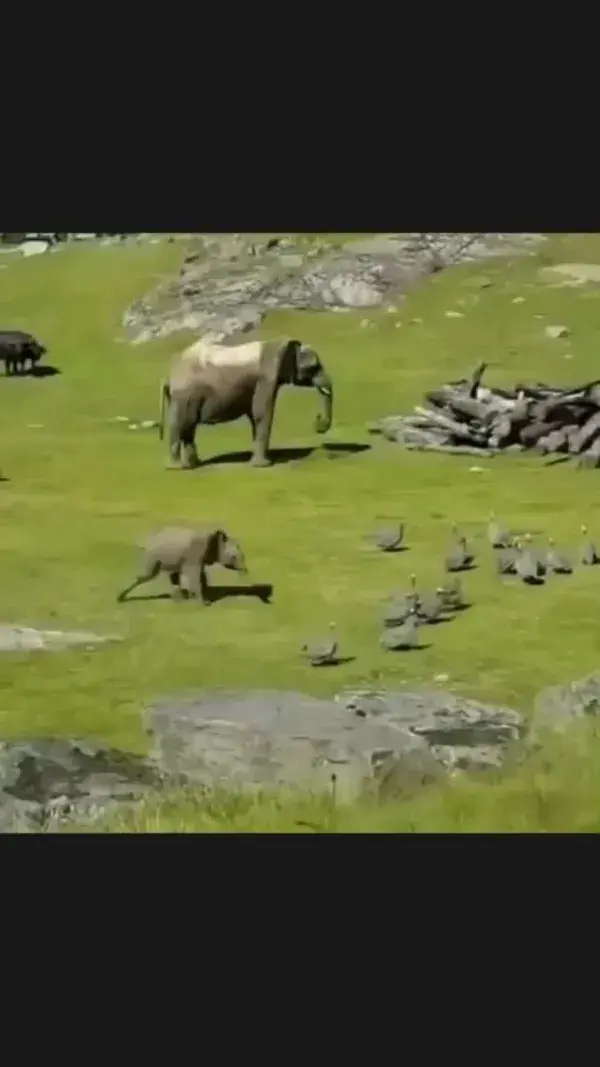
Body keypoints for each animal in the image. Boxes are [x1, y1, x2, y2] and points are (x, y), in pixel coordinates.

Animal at [115, 527, 246, 606]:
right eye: (234, 557)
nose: (245, 572)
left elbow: (201, 575)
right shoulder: (194, 553)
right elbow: (195, 575)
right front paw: (205, 603)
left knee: (172, 575)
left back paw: (179, 599)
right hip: (152, 556)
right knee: (147, 576)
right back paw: (120, 598)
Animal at [156, 335, 333, 465]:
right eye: (314, 367)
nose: (317, 422)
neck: (278, 345)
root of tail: (168, 375)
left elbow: (254, 415)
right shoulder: (266, 379)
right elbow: (262, 413)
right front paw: (263, 465)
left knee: (188, 427)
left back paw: (192, 465)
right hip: (185, 396)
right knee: (181, 425)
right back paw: (176, 467)